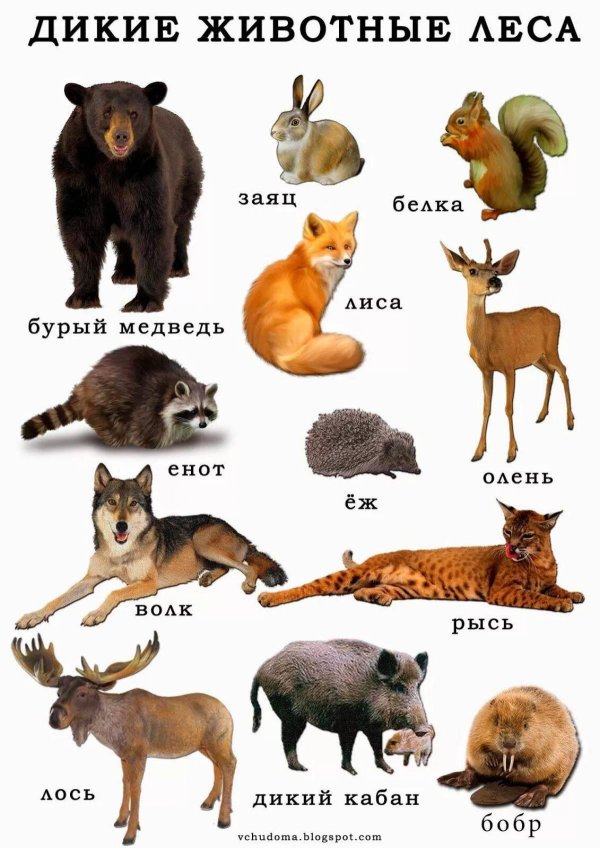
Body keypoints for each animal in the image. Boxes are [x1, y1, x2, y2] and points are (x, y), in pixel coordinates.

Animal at [16, 464, 286, 628]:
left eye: (133, 503)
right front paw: (33, 616)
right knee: (229, 567)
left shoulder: (148, 584)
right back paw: (207, 577)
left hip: (202, 542)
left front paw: (96, 613)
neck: (120, 552)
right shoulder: (91, 579)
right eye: (112, 502)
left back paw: (248, 584)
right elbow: (57, 599)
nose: (121, 526)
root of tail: (236, 530)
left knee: (247, 566)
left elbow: (114, 592)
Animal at [53, 81, 203, 312]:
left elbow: (152, 227)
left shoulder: (147, 173)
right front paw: (82, 297)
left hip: (187, 175)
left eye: (134, 114)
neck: (109, 164)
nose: (121, 136)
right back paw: (125, 272)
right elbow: (81, 230)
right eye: (106, 112)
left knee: (181, 221)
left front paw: (143, 300)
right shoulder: (76, 175)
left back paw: (177, 266)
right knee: (123, 234)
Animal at [243, 212, 364, 376]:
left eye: (347, 246)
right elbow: (317, 331)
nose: (347, 261)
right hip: (303, 315)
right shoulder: (314, 310)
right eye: (330, 247)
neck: (310, 265)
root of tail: (277, 359)